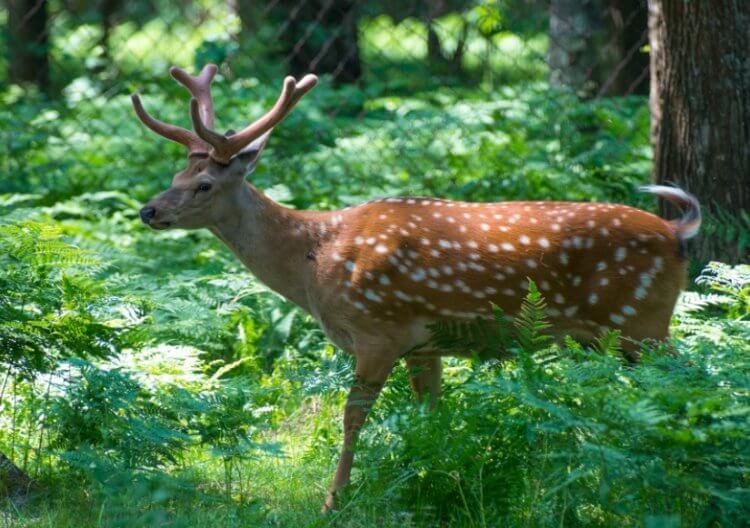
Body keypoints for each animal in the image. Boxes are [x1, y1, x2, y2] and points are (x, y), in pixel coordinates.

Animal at [132, 65, 704, 512]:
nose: (149, 210)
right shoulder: (424, 343)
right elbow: (431, 417)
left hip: (640, 318)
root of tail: (677, 232)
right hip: (611, 333)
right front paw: (437, 476)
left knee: (692, 379)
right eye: (176, 176)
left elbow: (352, 418)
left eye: (205, 185)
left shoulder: (378, 329)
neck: (314, 264)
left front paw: (335, 498)